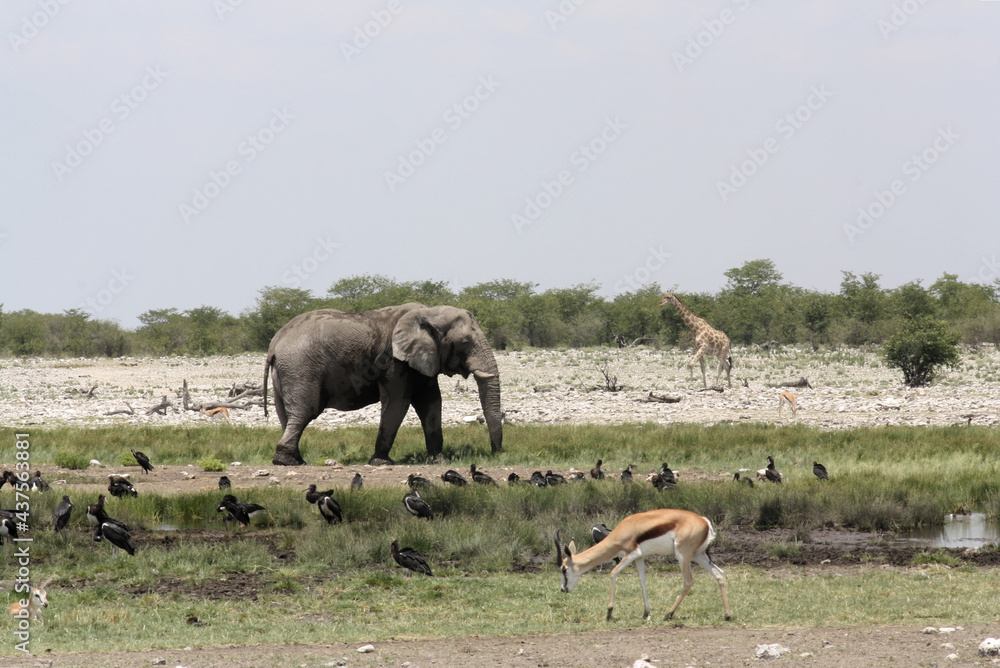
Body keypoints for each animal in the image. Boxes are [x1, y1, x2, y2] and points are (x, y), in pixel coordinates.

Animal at [263, 303, 502, 466]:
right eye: (465, 343)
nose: (496, 454)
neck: (429, 311)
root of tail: (275, 343)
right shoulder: (393, 361)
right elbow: (398, 402)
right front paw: (381, 462)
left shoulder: (422, 359)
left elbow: (431, 402)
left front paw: (438, 461)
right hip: (301, 367)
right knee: (305, 411)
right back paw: (289, 462)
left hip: (287, 371)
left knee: (286, 414)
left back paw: (294, 459)